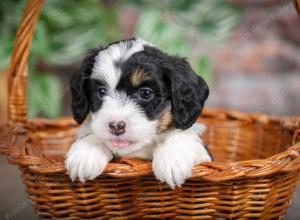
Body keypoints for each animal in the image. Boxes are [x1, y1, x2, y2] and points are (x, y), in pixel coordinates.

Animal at [64, 37, 212, 188]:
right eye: (101, 92)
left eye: (145, 93)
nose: (116, 126)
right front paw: (85, 154)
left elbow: (181, 133)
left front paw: (172, 158)